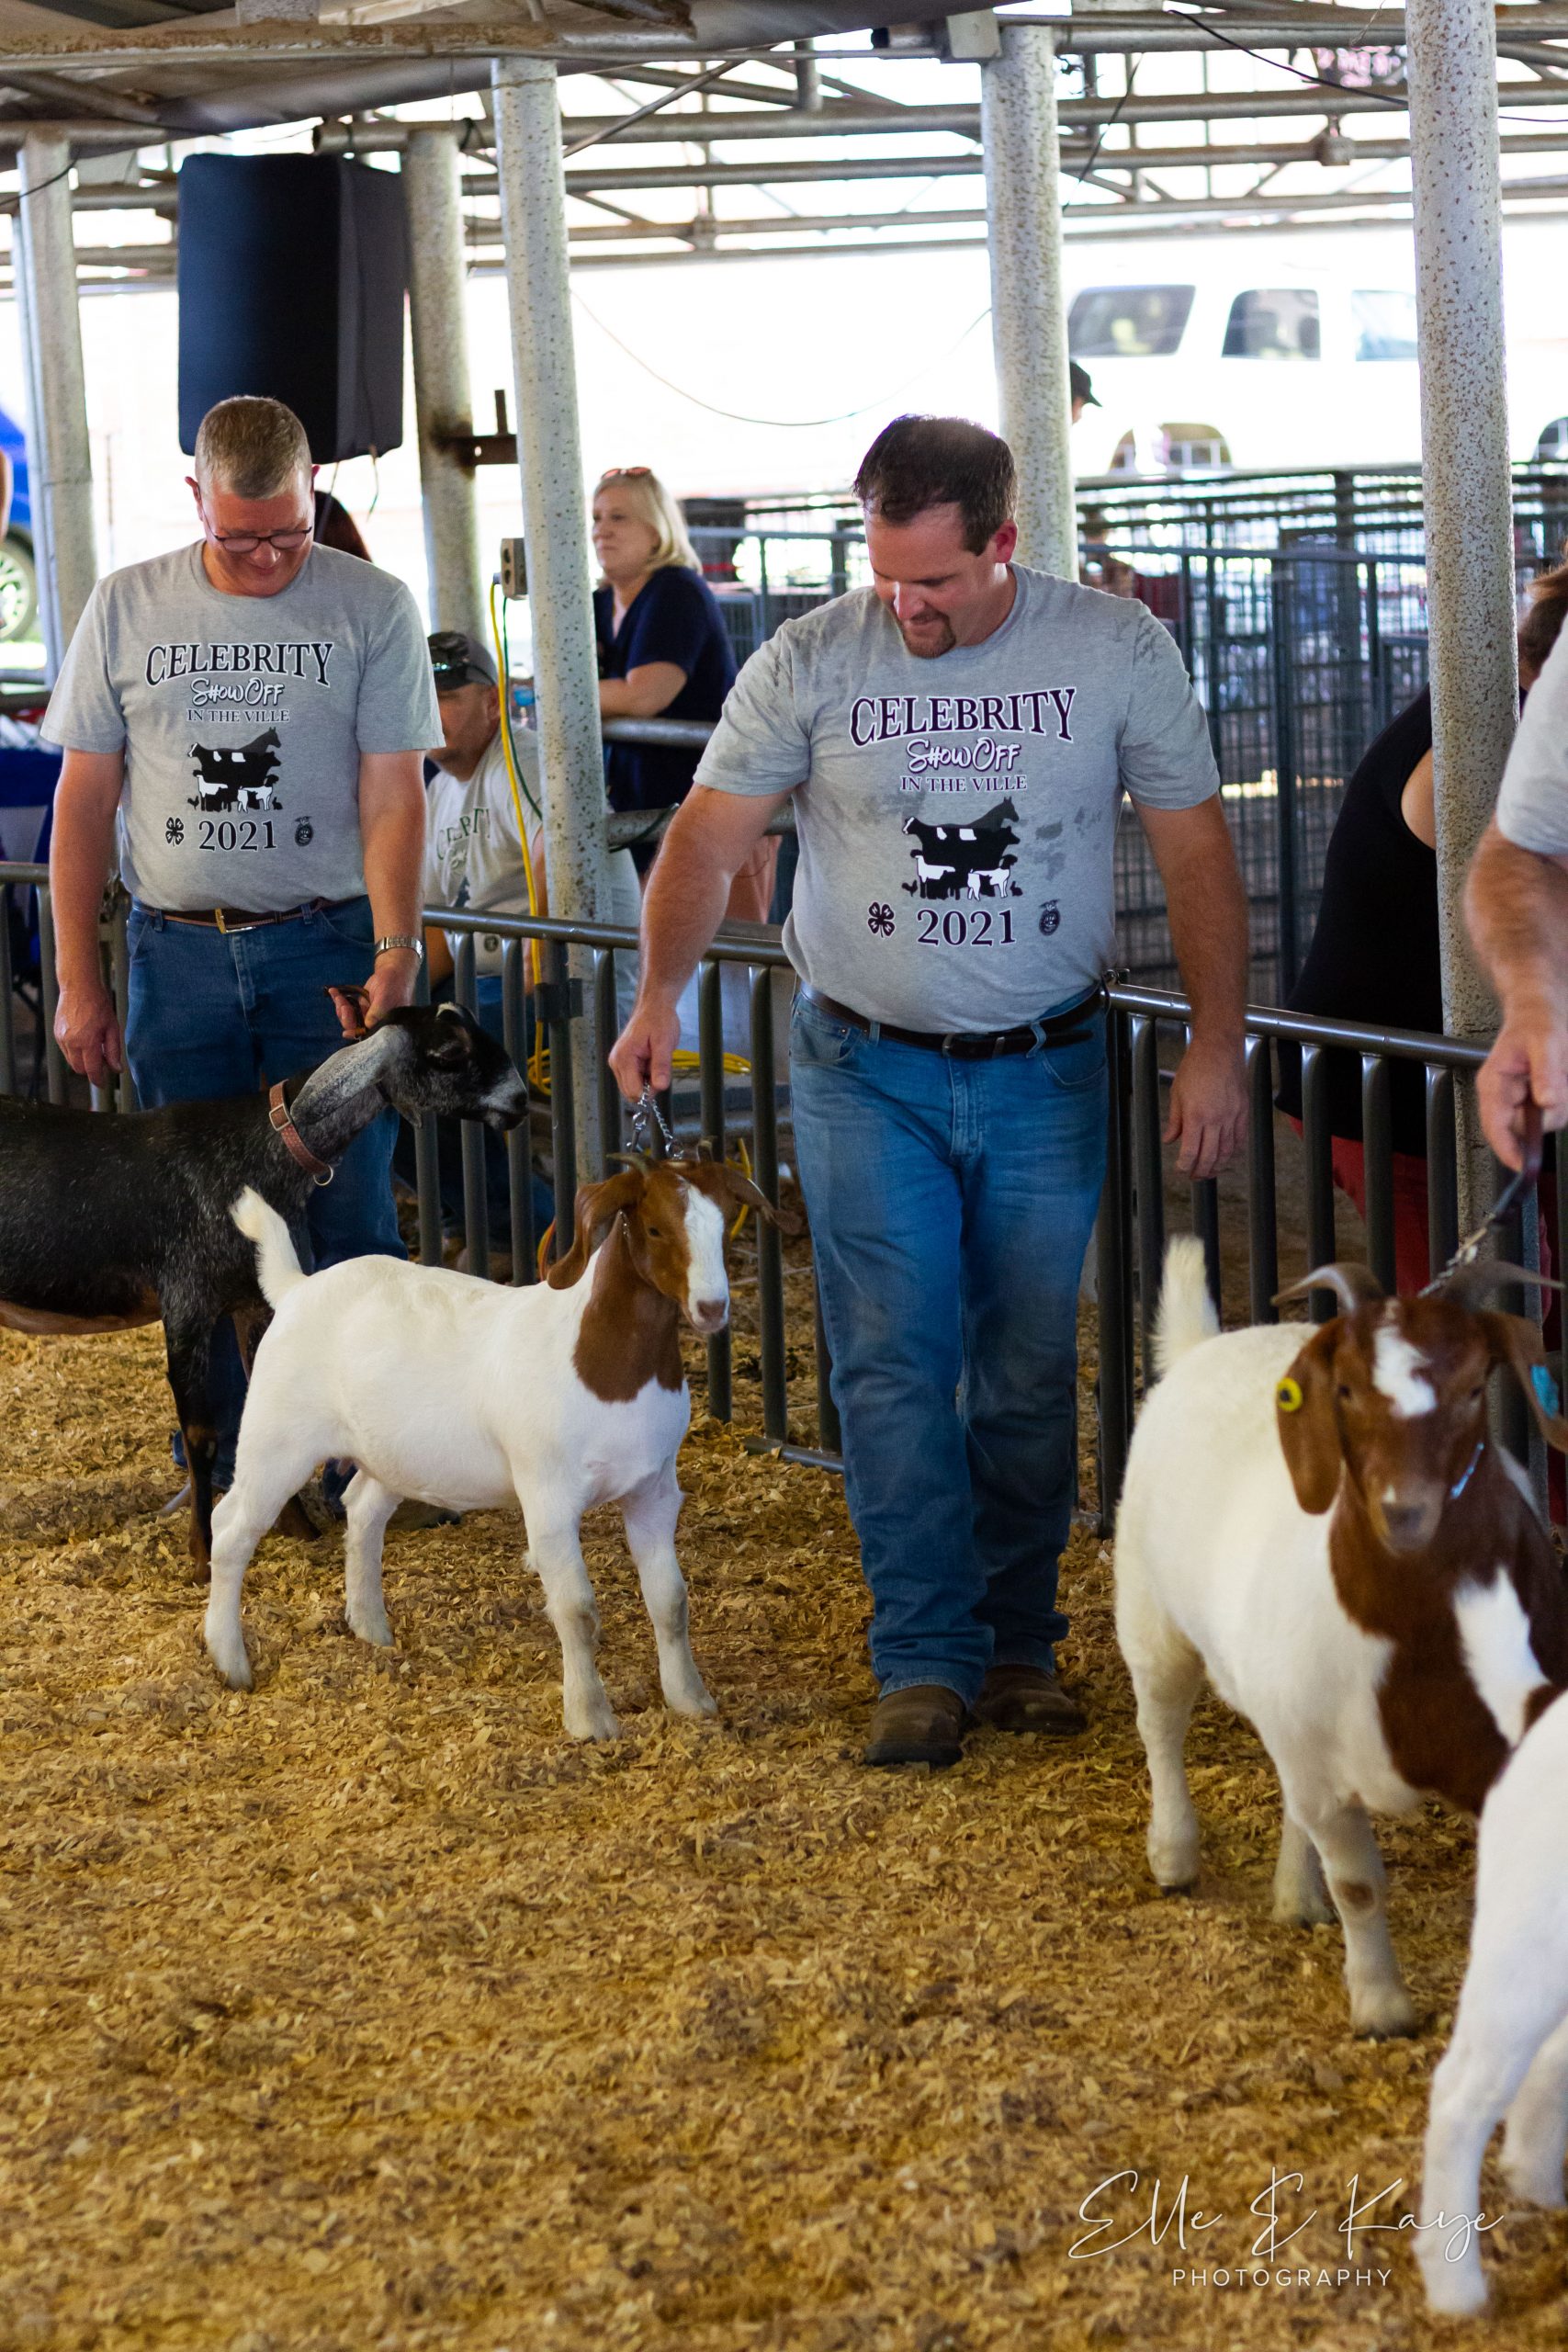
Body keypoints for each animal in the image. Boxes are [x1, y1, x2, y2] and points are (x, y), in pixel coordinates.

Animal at [0, 1000, 527, 1572]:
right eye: (449, 1052)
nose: (521, 1100)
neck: (262, 1149)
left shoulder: (254, 1303)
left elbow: (263, 1406)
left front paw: (297, 1528)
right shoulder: (186, 1301)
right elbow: (202, 1435)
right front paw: (202, 1554)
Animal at [204, 1155, 798, 1738]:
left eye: (725, 1225)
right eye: (654, 1228)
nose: (712, 1307)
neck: (602, 1361)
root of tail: (297, 1287)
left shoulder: (653, 1490)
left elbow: (671, 1600)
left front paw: (691, 1699)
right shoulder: (549, 1497)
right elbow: (576, 1610)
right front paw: (590, 1719)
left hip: (394, 1452)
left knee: (363, 1508)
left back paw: (371, 1627)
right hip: (277, 1436)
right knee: (231, 1529)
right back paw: (230, 1661)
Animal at [1114, 1237, 1568, 2037]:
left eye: (1473, 1389)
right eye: (1347, 1391)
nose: (1404, 1512)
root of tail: (1205, 1344)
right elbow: (1358, 1885)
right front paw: (1380, 2006)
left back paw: (1295, 1897)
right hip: (1149, 1611)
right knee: (1161, 1726)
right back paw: (1173, 1855)